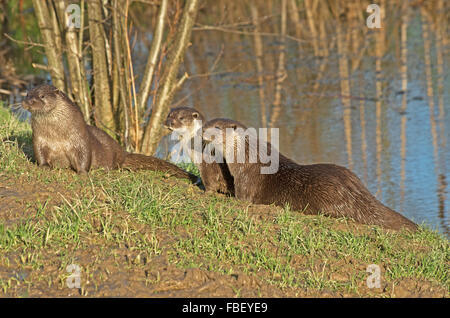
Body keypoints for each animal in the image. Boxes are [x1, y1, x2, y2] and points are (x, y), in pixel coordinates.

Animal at [21, 84, 197, 181]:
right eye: (27, 94)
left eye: (42, 96)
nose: (27, 101)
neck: (57, 135)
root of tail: (122, 153)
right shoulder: (39, 139)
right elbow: (40, 153)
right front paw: (44, 166)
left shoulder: (79, 138)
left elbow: (84, 155)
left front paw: (83, 173)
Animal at [204, 117, 418, 231]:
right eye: (208, 122)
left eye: (217, 127)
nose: (203, 129)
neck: (247, 156)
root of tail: (357, 195)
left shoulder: (247, 182)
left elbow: (242, 199)